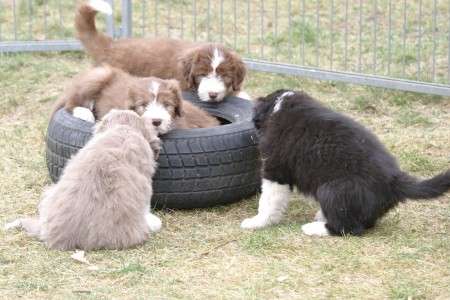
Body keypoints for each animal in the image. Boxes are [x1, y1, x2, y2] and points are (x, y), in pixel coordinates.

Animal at [51, 65, 220, 135]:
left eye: (167, 104)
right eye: (143, 104)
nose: (156, 121)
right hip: (97, 76)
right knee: (72, 102)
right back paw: (84, 113)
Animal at [243, 89, 450, 237]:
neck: (281, 105)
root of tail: (393, 180)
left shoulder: (275, 170)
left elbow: (268, 201)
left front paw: (257, 222)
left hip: (331, 190)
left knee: (350, 229)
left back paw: (315, 228)